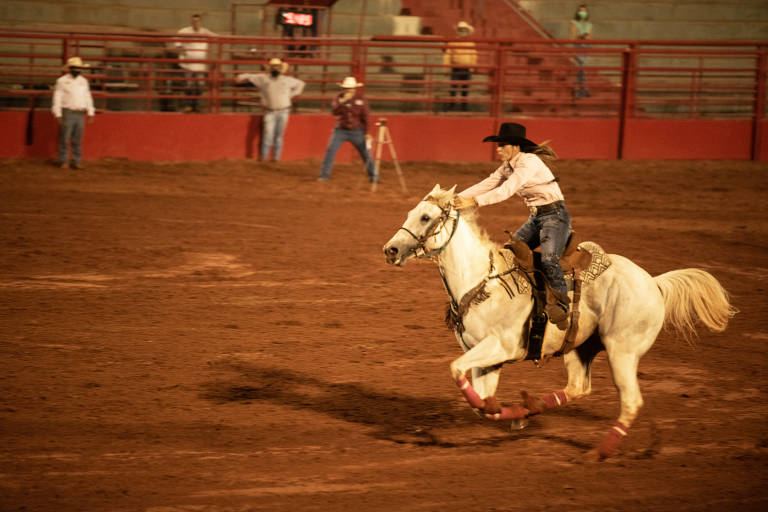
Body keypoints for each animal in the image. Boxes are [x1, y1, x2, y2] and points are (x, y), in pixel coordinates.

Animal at [380, 186, 736, 458]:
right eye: (412, 212)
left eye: (426, 217)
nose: (391, 249)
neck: (483, 281)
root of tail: (654, 283)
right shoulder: (486, 358)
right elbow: (482, 403)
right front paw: (511, 415)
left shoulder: (499, 346)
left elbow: (458, 373)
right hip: (581, 348)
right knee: (578, 387)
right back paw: (530, 406)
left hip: (623, 351)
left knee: (631, 401)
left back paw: (599, 451)